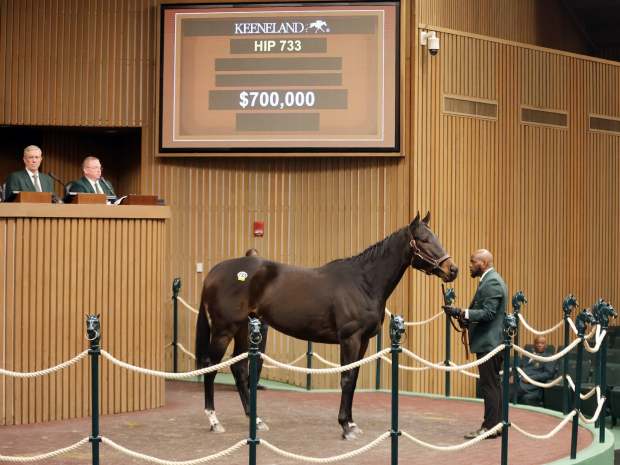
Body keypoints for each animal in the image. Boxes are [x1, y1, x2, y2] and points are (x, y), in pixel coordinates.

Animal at [196, 212, 458, 436]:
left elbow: (353, 378)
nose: (452, 269)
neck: (363, 282)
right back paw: (214, 420)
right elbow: (346, 378)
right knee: (211, 366)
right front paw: (346, 426)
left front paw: (351, 422)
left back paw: (256, 420)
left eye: (436, 237)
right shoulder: (350, 339)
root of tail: (215, 272)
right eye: (423, 240)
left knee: (239, 369)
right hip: (224, 330)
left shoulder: (363, 342)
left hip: (243, 328)